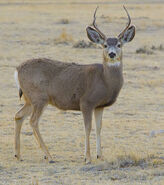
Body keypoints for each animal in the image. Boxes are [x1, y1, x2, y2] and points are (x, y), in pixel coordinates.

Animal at [14, 5, 135, 163]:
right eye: (105, 45)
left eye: (119, 44)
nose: (112, 54)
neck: (104, 80)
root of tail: (17, 69)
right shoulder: (86, 102)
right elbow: (88, 127)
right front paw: (87, 157)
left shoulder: (99, 106)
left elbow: (99, 127)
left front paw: (100, 155)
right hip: (39, 98)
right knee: (33, 121)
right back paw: (49, 155)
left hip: (30, 99)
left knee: (18, 115)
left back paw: (18, 155)